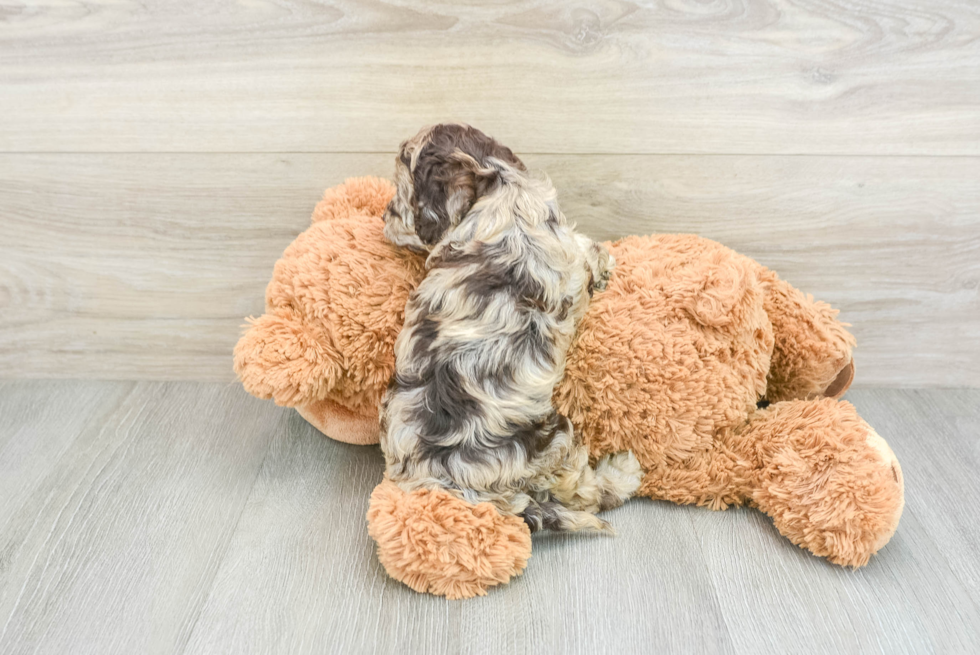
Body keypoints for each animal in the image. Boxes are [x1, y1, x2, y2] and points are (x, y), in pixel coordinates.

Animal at [378, 123, 640, 532]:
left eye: (401, 190)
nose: (383, 217)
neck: (501, 185)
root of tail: (461, 488)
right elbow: (586, 252)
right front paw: (603, 262)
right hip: (553, 440)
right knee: (585, 492)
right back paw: (624, 472)